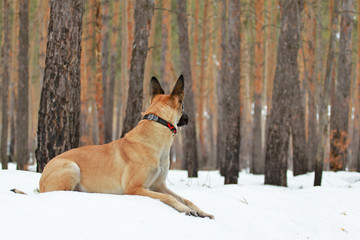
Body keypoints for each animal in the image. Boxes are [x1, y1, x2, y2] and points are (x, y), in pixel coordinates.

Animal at [38, 75, 214, 219]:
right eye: (183, 106)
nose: (188, 118)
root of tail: (43, 173)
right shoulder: (134, 188)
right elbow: (169, 198)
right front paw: (185, 210)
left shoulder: (158, 185)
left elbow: (185, 198)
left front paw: (201, 211)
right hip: (72, 167)